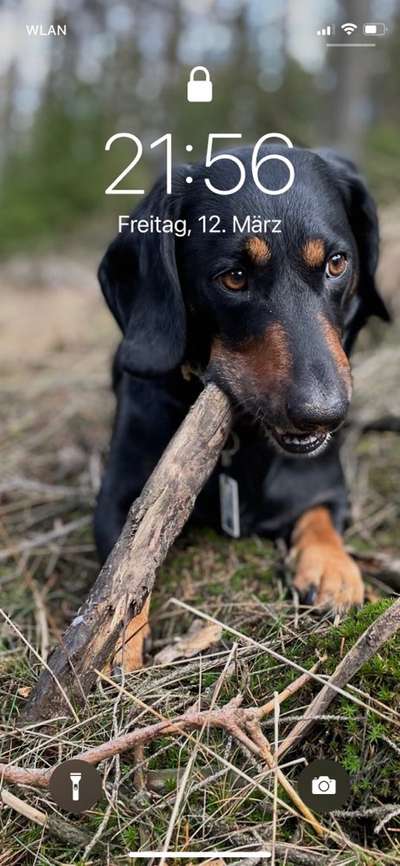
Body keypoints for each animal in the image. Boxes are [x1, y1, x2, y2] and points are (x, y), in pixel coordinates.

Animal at [95, 145, 390, 664]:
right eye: (233, 278)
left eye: (337, 263)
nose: (324, 414)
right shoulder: (116, 501)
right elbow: (125, 573)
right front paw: (117, 645)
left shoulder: (324, 486)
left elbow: (319, 519)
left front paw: (333, 569)